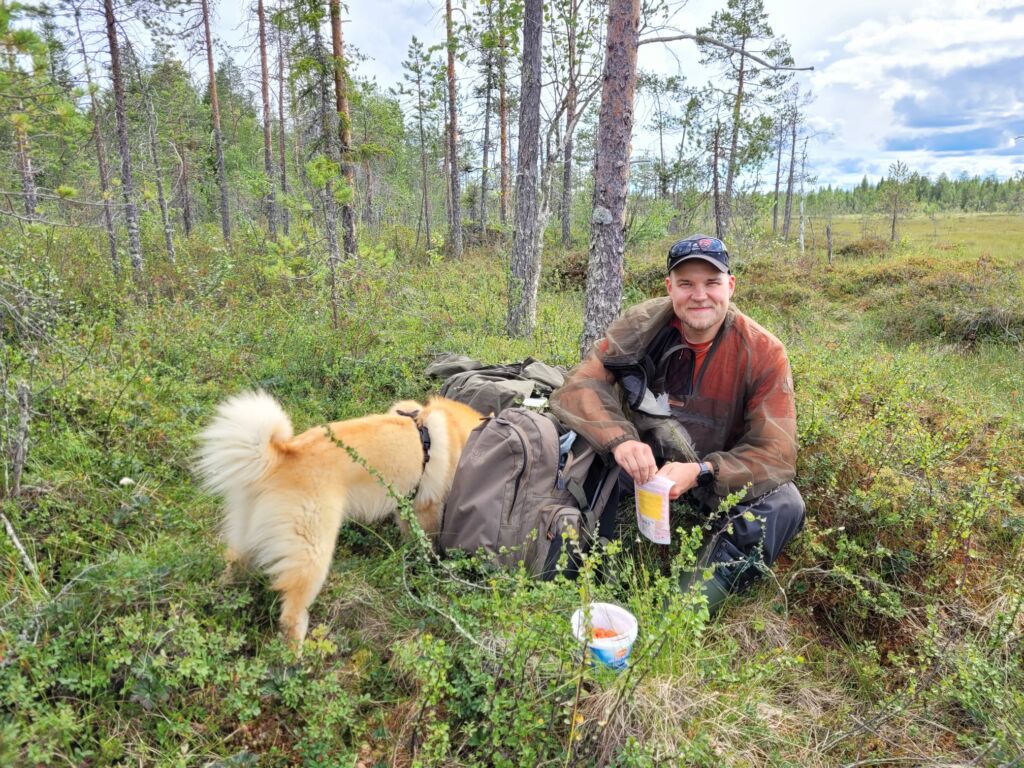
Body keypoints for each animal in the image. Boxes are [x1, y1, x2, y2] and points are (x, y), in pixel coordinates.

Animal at [195, 391, 483, 651]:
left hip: (245, 536)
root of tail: (280, 455)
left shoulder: (405, 506)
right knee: (291, 613)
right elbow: (428, 540)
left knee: (233, 566)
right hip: (313, 552)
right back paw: (296, 657)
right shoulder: (426, 508)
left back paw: (220, 599)